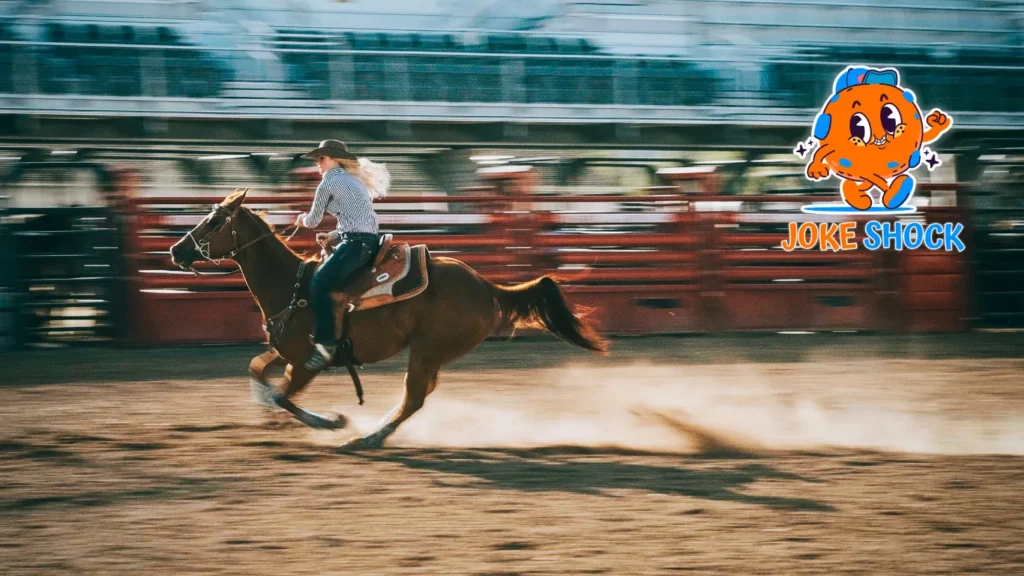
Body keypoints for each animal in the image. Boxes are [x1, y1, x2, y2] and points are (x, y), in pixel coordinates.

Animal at [167, 189, 606, 448]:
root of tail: (486, 285)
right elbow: (258, 371)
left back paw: (366, 438)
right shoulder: (287, 352)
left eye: (215, 221)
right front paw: (272, 417)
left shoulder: (309, 362)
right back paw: (374, 433)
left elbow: (282, 395)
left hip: (427, 350)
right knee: (419, 396)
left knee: (413, 398)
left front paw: (333, 421)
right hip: (430, 354)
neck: (292, 286)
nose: (176, 250)